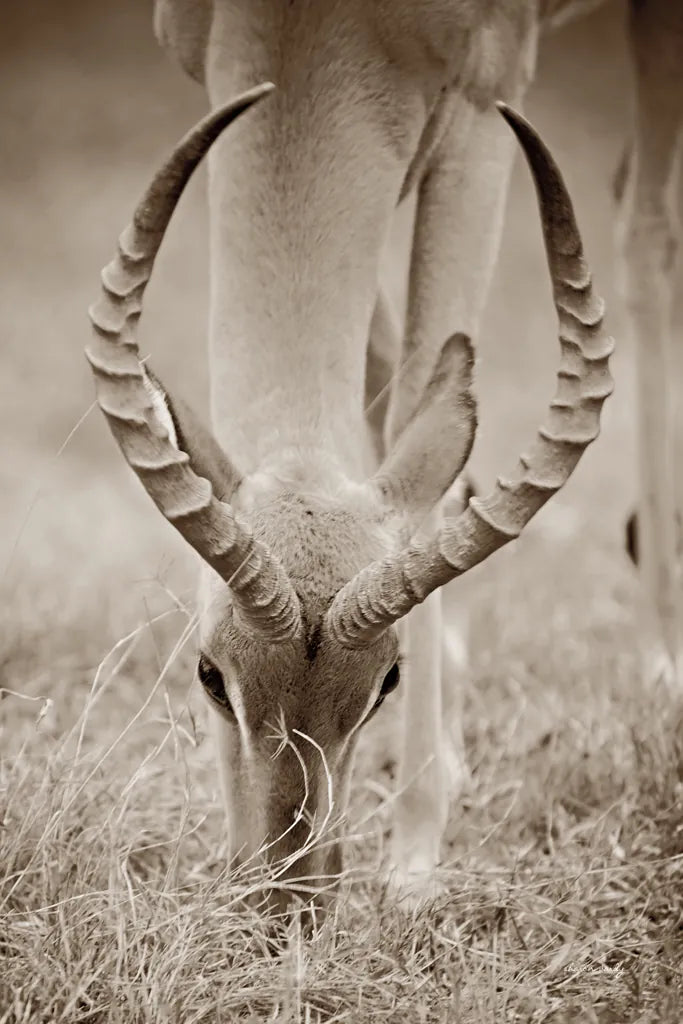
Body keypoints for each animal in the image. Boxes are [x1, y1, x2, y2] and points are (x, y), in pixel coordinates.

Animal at [86, 0, 622, 912]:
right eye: (208, 675)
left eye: (386, 682)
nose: (285, 903)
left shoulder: (484, 109)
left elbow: (420, 404)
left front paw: (414, 860)